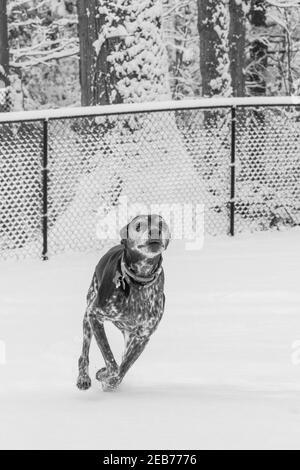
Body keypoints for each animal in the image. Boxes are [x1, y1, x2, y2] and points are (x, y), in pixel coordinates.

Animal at [76, 215, 170, 392]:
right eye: (138, 226)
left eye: (161, 224)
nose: (155, 231)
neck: (139, 282)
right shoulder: (95, 316)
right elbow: (111, 360)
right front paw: (105, 375)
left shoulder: (143, 336)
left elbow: (123, 368)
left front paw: (108, 380)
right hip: (87, 317)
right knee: (84, 353)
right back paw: (83, 377)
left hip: (129, 335)